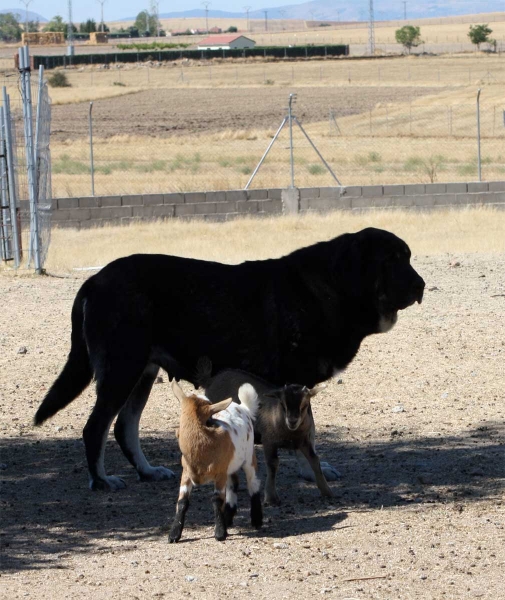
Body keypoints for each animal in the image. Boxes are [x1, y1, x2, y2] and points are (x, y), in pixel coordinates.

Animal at [33, 227, 424, 490]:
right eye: (392, 261)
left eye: (407, 258)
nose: (421, 286)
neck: (333, 287)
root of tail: (94, 281)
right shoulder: (294, 383)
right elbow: (302, 438)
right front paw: (307, 470)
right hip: (122, 369)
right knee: (96, 428)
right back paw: (101, 481)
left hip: (142, 372)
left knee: (123, 427)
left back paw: (147, 471)